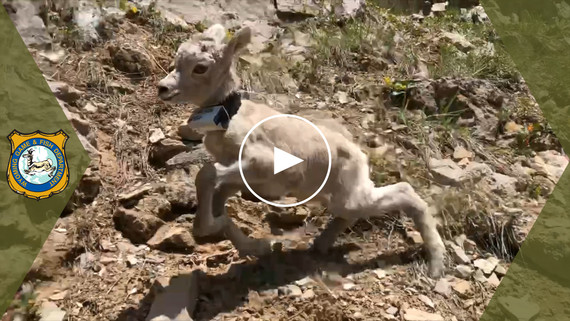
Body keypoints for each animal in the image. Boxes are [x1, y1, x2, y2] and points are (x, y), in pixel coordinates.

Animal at [155, 24, 444, 276]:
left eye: (200, 68)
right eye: (177, 60)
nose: (163, 88)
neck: (230, 117)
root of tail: (360, 154)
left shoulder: (260, 163)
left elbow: (206, 176)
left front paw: (229, 232)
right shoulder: (238, 179)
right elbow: (216, 202)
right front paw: (256, 246)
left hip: (351, 196)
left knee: (404, 193)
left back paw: (436, 264)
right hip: (336, 198)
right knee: (353, 213)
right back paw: (320, 246)